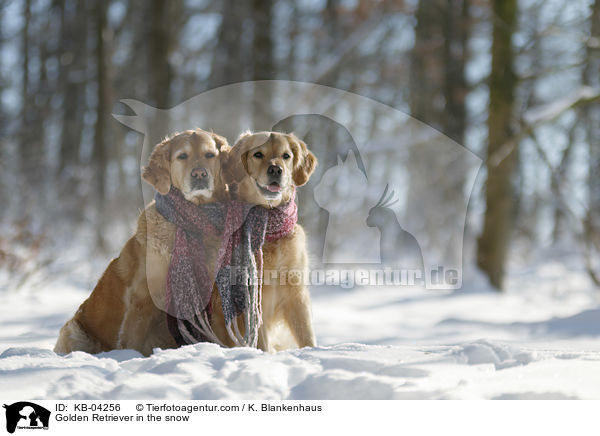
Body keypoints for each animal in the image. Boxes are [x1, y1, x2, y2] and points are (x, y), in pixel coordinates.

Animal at [54, 127, 230, 356]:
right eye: (182, 156)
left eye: (210, 155)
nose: (199, 174)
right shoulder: (142, 298)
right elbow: (132, 340)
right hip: (73, 331)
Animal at [216, 131, 318, 352]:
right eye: (258, 154)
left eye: (286, 156)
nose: (275, 169)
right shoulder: (253, 300)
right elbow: (260, 340)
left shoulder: (295, 291)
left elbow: (306, 334)